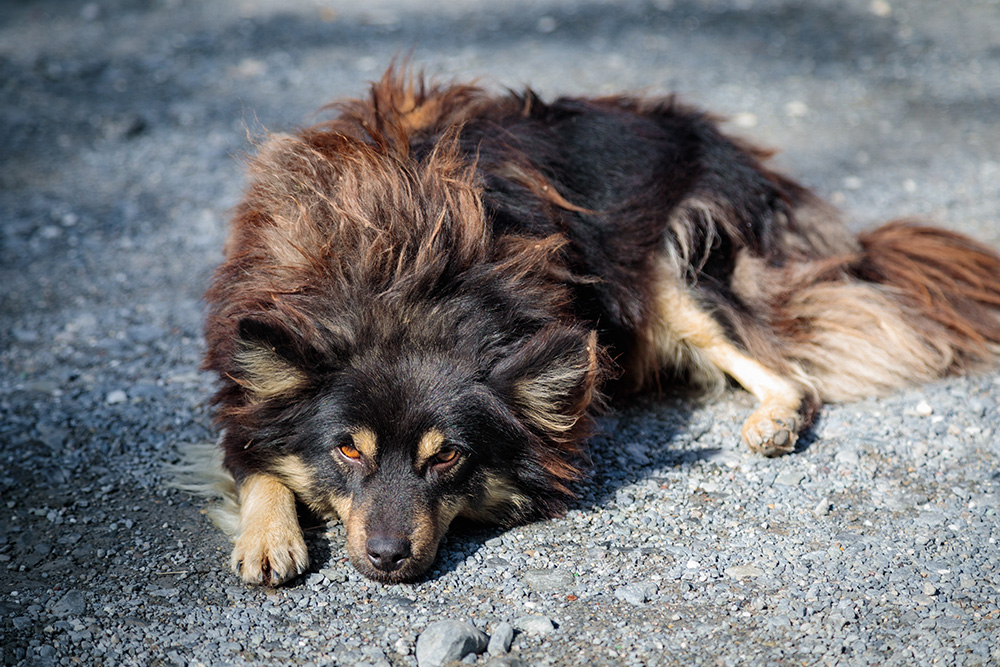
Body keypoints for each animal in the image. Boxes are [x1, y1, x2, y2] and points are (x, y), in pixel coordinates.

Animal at [201, 68, 1000, 588]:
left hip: (668, 276)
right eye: (346, 449)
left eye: (447, 456)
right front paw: (267, 533)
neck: (401, 282)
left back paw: (773, 418)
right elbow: (252, 453)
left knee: (789, 372)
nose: (388, 557)